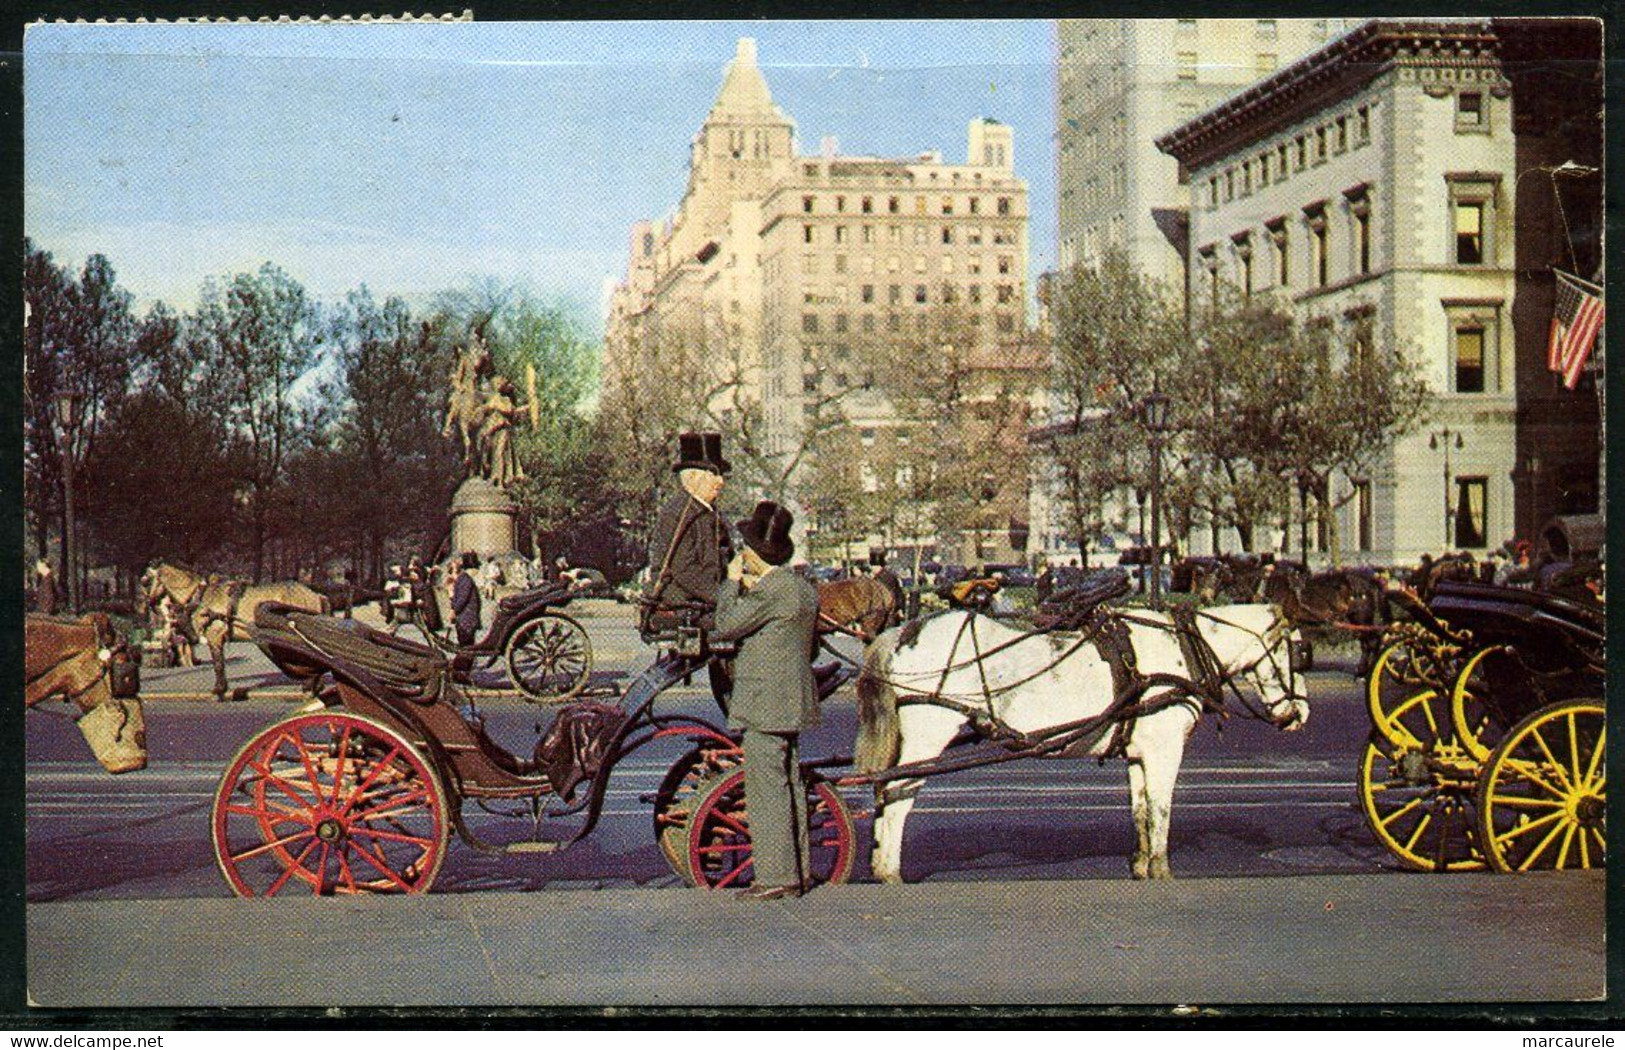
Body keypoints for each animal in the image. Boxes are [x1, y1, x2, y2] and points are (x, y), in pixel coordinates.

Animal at [143, 562, 329, 702]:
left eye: (146, 581)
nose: (149, 604)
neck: (200, 596)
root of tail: (316, 595)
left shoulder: (214, 636)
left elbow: (218, 664)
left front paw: (218, 691)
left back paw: (309, 687)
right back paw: (314, 686)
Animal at [858, 604, 1313, 884]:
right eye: (1297, 652)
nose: (1301, 714)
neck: (1181, 648)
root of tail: (902, 632)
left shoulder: (1139, 753)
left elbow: (1141, 810)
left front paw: (1141, 866)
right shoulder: (1165, 749)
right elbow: (1161, 809)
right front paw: (1162, 869)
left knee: (884, 793)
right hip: (928, 737)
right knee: (897, 795)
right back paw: (889, 870)